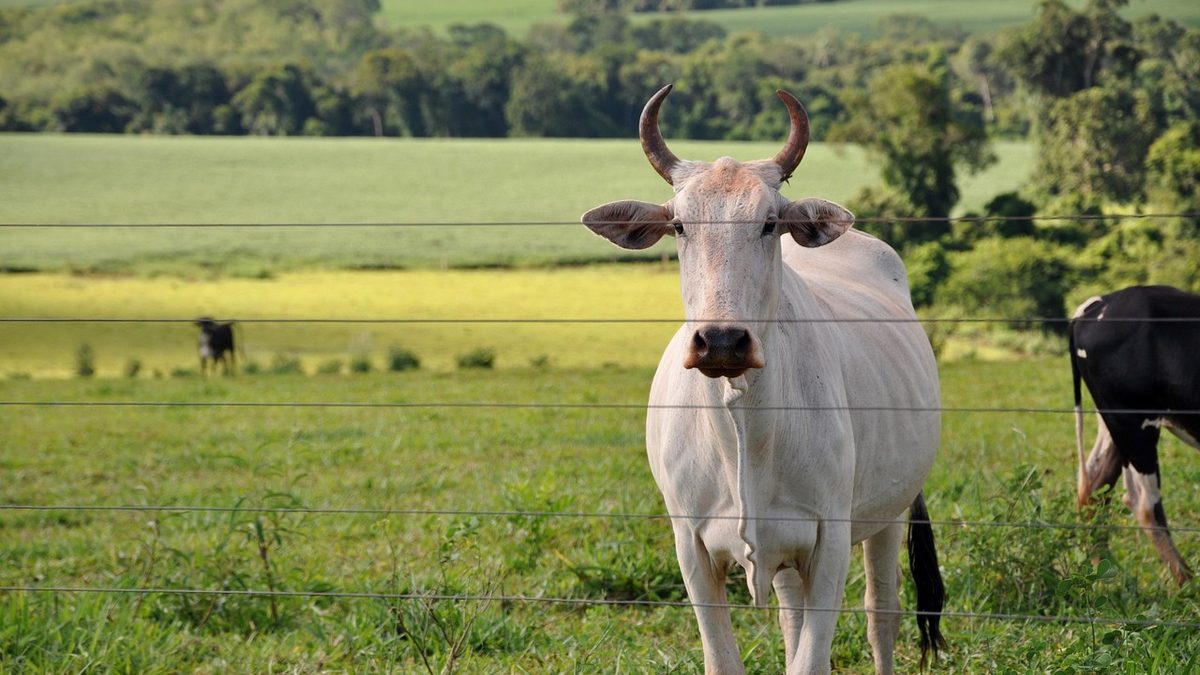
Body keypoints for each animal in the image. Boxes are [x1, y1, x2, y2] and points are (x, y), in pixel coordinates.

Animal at [582, 84, 945, 674]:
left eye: (769, 222)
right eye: (679, 225)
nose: (722, 341)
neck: (744, 429)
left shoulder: (830, 540)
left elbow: (813, 658)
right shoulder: (691, 545)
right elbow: (727, 658)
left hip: (889, 513)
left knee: (882, 613)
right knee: (793, 614)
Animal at [1071, 285, 1200, 586]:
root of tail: (1099, 303)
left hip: (1113, 423)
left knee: (1094, 488)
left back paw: (1104, 575)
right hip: (1132, 423)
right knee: (1143, 502)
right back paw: (1188, 583)